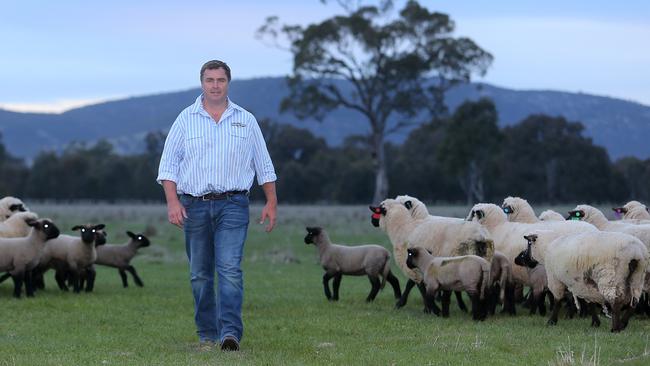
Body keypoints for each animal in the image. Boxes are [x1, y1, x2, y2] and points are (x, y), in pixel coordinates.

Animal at [512, 233, 644, 334]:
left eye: (528, 245)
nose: (515, 260)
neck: (544, 250)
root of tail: (635, 253)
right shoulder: (583, 283)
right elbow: (590, 302)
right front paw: (595, 322)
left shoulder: (555, 278)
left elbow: (557, 301)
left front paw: (552, 321)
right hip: (637, 277)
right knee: (634, 302)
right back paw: (623, 324)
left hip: (610, 278)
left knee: (616, 302)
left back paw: (615, 328)